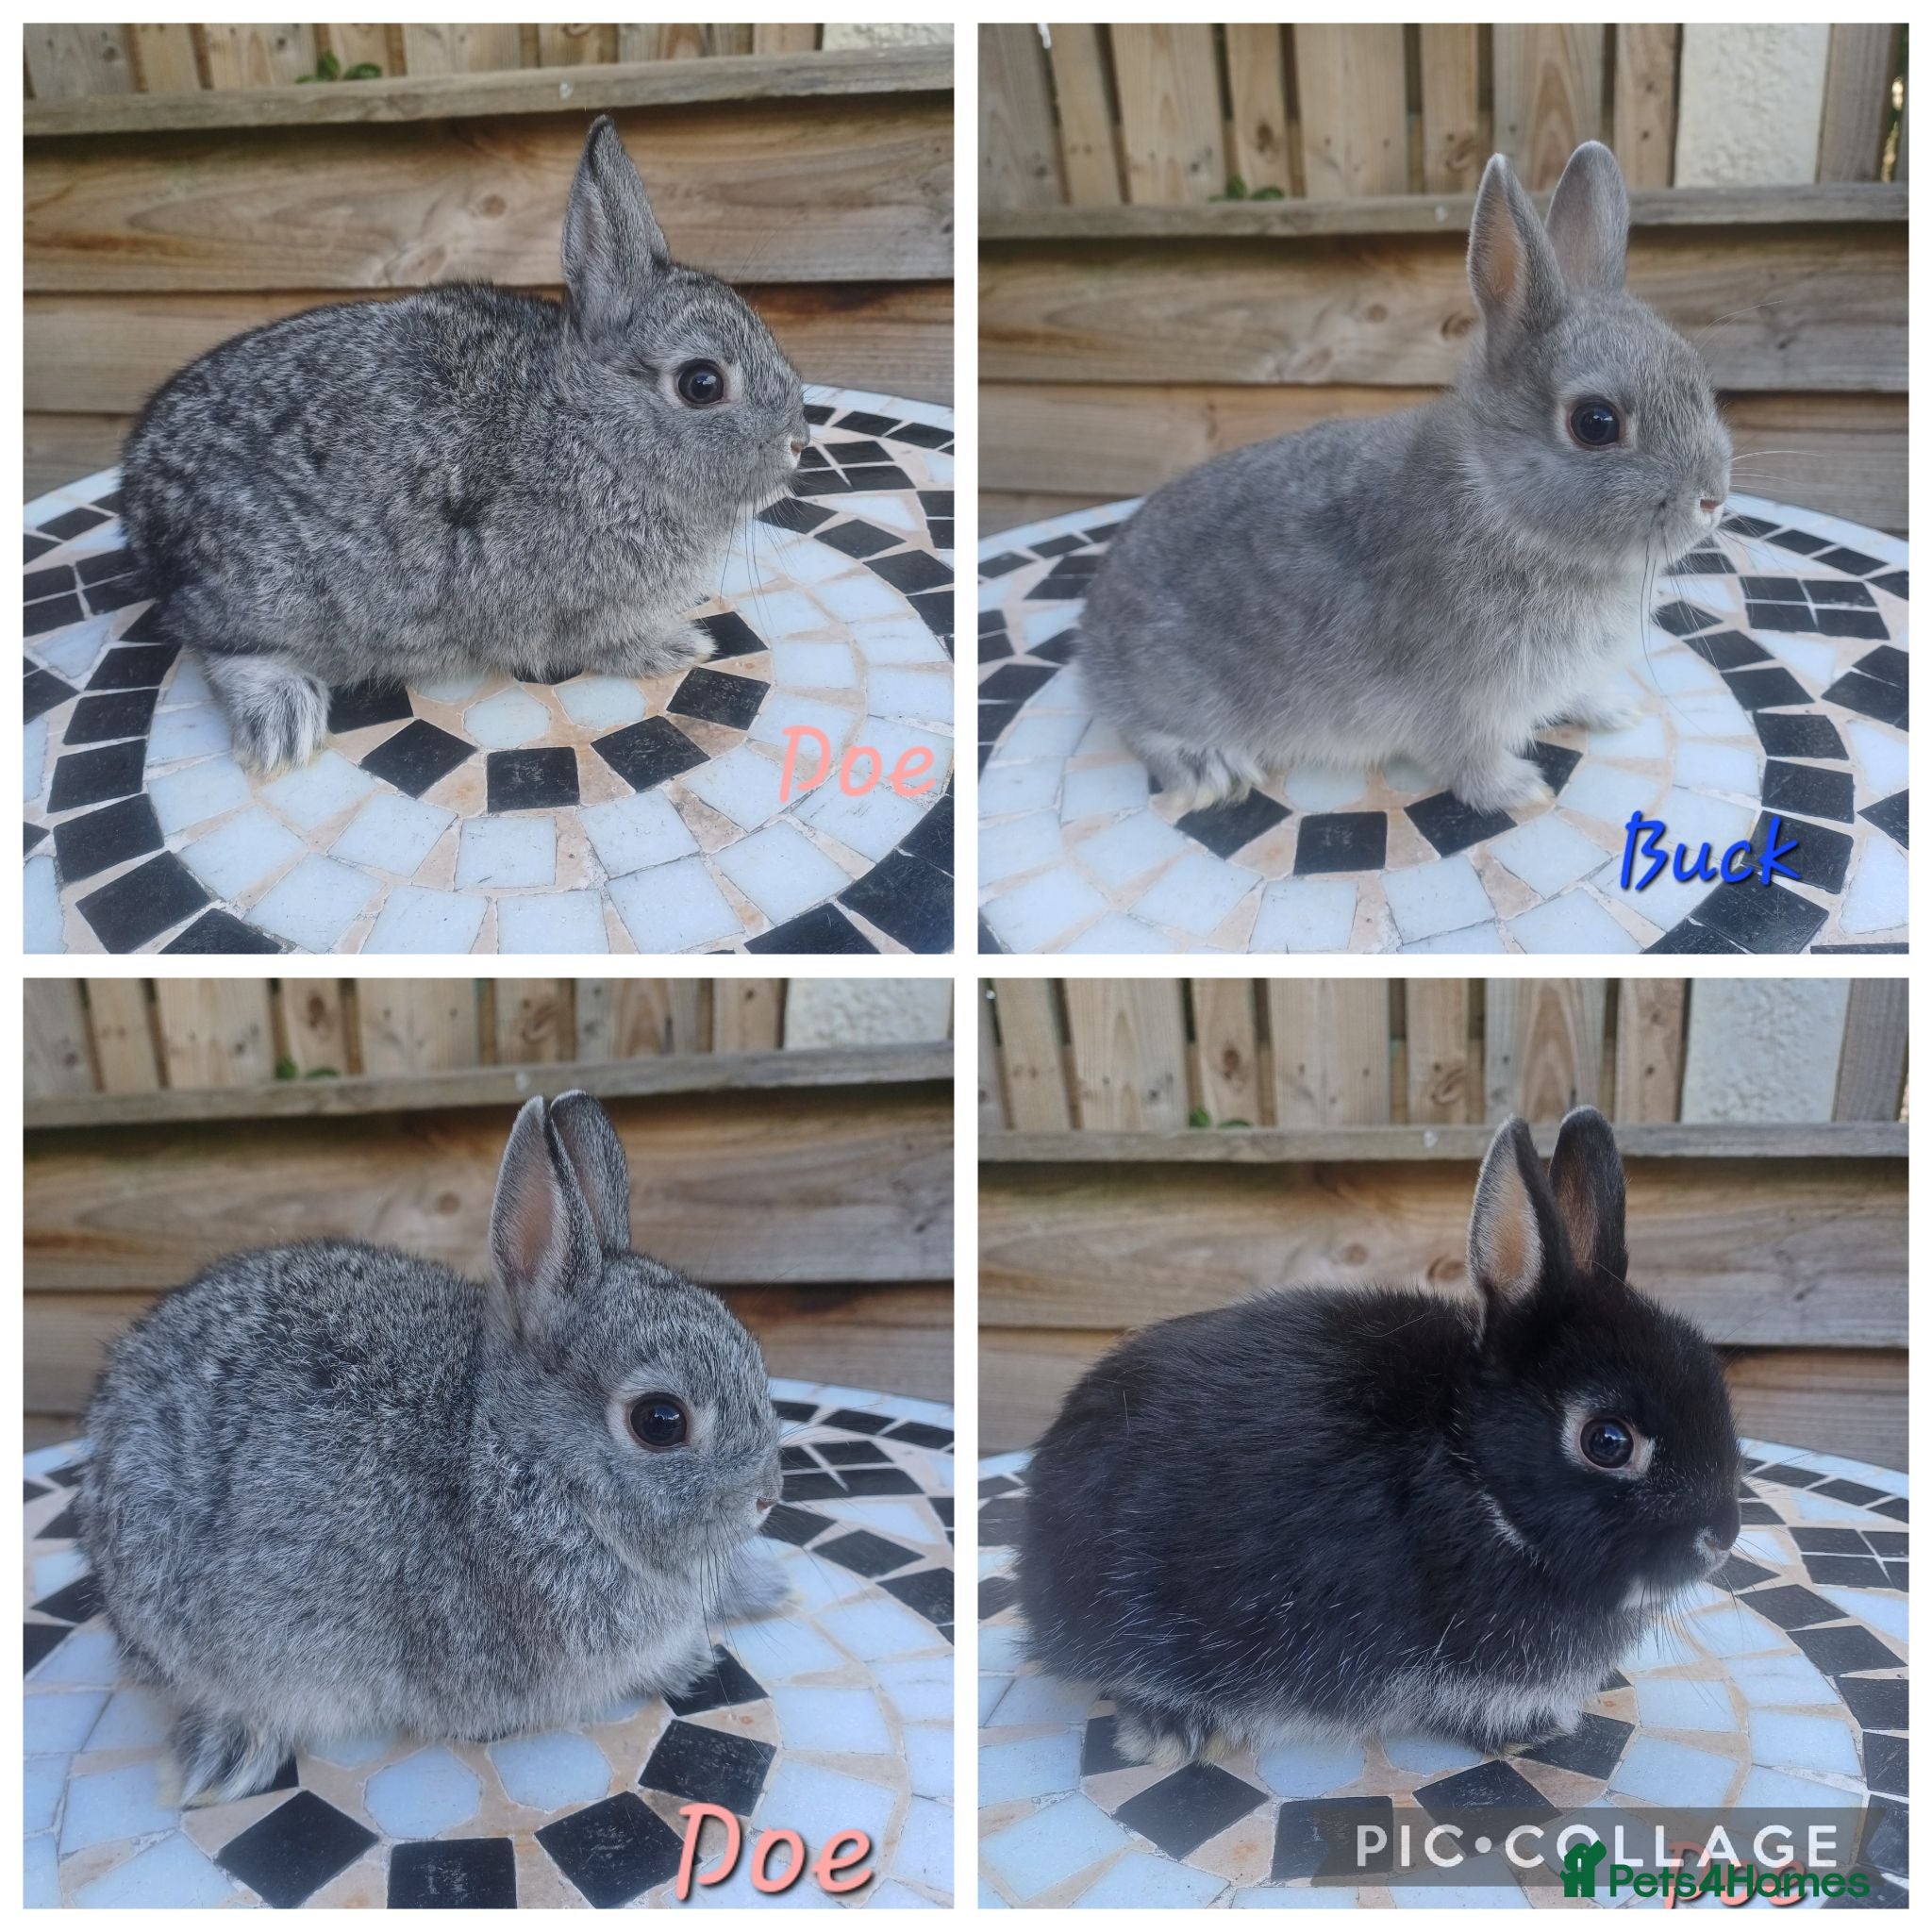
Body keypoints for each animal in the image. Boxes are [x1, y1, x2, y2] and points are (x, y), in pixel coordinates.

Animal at [79, 1090, 788, 1806]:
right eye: (660, 1421)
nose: (767, 1497)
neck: (514, 1449)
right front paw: (690, 1661)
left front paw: (754, 1595)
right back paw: (227, 1755)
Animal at [119, 116, 811, 775]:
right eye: (701, 383)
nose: (800, 442)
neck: (591, 429)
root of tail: (138, 495)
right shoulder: (578, 606)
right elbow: (603, 645)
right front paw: (680, 646)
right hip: (269, 591)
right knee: (217, 644)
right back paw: (283, 722)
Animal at [1077, 141, 1734, 815]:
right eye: (1595, 423)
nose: (1712, 500)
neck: (1498, 502)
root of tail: (1091, 638)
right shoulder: (1462, 703)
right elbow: (1468, 759)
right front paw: (1520, 791)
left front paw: (1612, 710)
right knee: (1142, 731)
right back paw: (1211, 769)